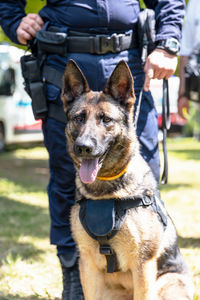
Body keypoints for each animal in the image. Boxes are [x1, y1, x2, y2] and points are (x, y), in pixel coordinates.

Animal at [61, 59, 194, 300]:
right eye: (79, 118)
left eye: (106, 119)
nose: (83, 147)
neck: (105, 193)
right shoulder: (88, 265)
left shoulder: (143, 265)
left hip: (166, 285)